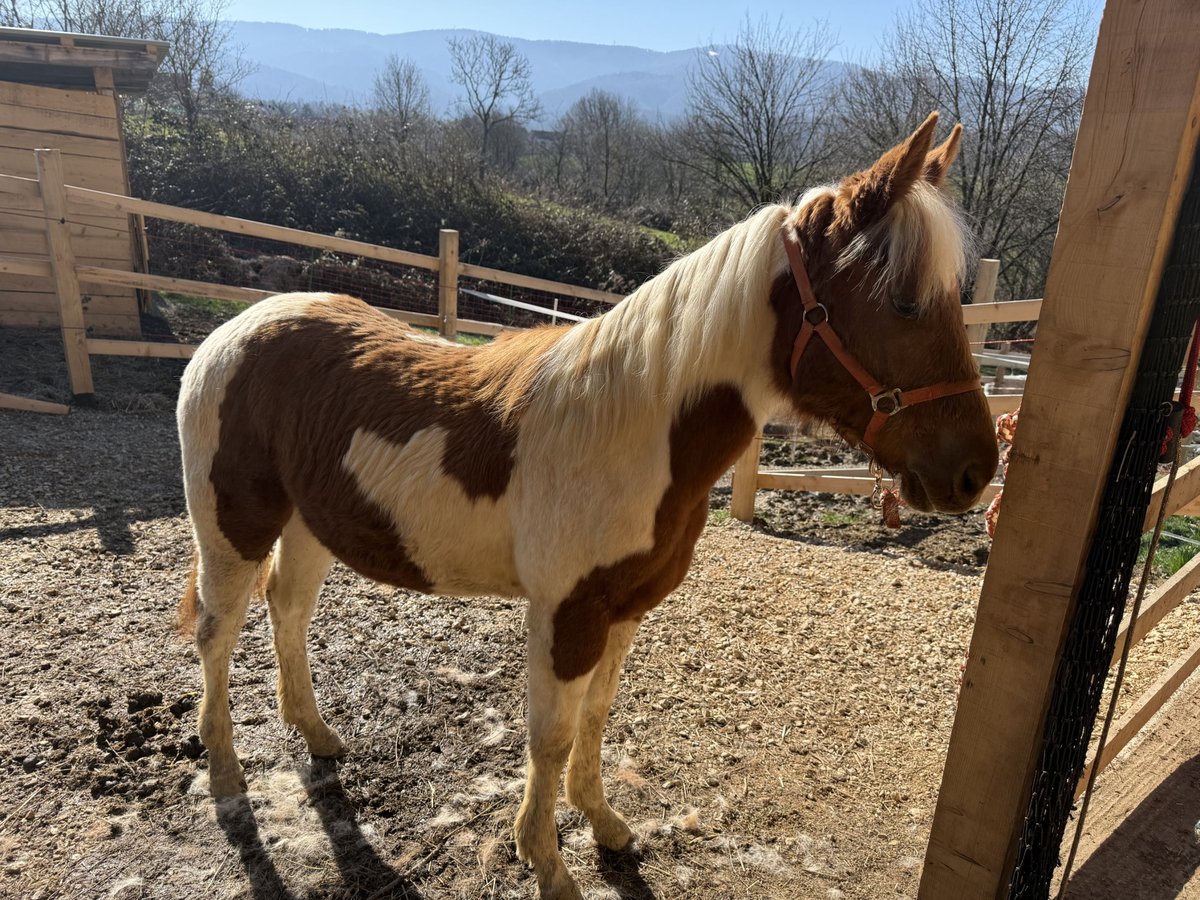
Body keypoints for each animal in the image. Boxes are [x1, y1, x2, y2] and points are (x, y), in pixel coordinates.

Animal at [174, 114, 998, 900]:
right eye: (903, 302)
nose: (974, 473)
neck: (636, 423)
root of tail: (236, 329)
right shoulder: (566, 612)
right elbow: (550, 735)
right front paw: (548, 865)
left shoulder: (624, 609)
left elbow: (596, 720)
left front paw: (604, 823)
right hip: (233, 527)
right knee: (218, 632)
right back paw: (226, 777)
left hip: (310, 524)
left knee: (287, 609)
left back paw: (317, 736)